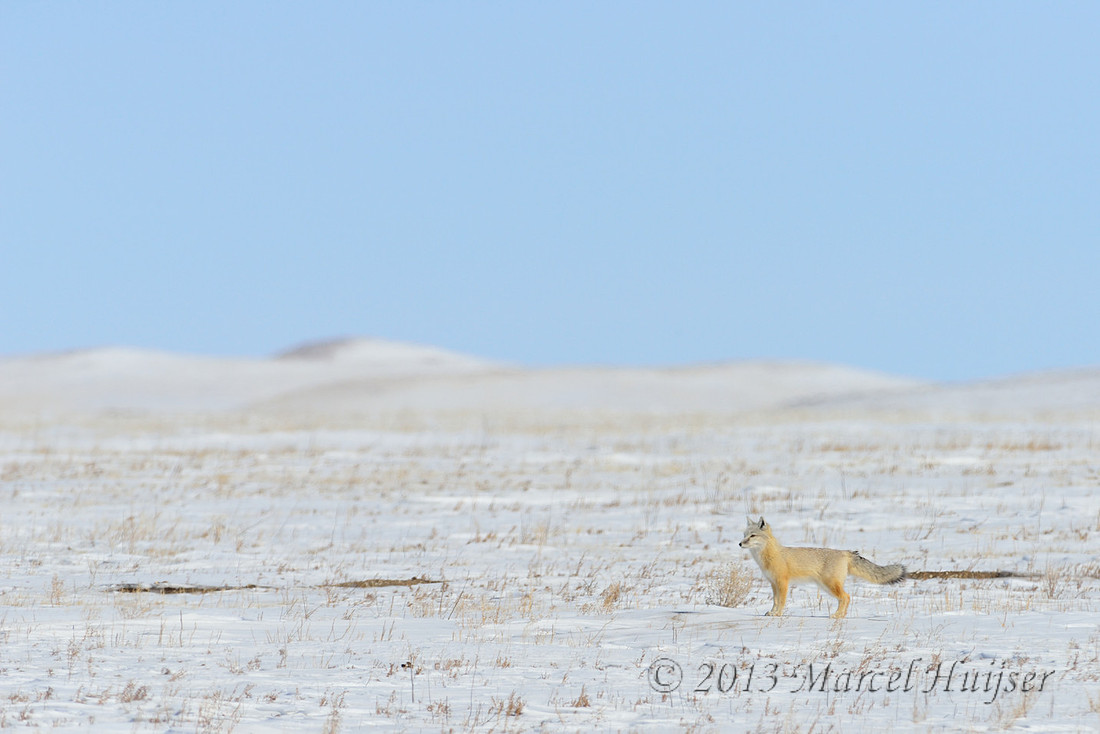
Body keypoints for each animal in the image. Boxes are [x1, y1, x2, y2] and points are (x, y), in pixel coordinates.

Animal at [739, 517, 906, 618]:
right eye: (744, 534)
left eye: (752, 536)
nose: (740, 543)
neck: (770, 556)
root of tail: (845, 552)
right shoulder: (773, 583)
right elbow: (775, 600)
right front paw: (772, 613)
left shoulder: (783, 582)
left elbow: (781, 601)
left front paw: (778, 614)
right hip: (827, 586)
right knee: (846, 598)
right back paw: (841, 616)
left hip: (829, 585)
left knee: (846, 597)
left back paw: (837, 616)